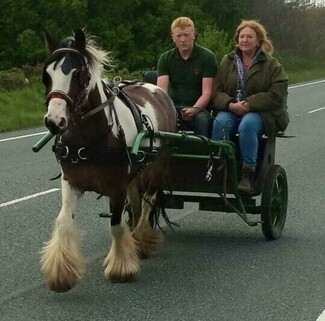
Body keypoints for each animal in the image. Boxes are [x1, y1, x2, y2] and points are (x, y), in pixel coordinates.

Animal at [40, 28, 177, 292]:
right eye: (46, 75)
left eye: (79, 75)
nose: (54, 121)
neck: (91, 138)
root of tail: (155, 88)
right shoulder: (71, 181)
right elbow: (63, 221)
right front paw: (62, 274)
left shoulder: (117, 186)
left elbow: (115, 223)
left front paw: (121, 267)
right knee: (137, 206)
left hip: (157, 168)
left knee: (148, 204)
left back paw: (141, 241)